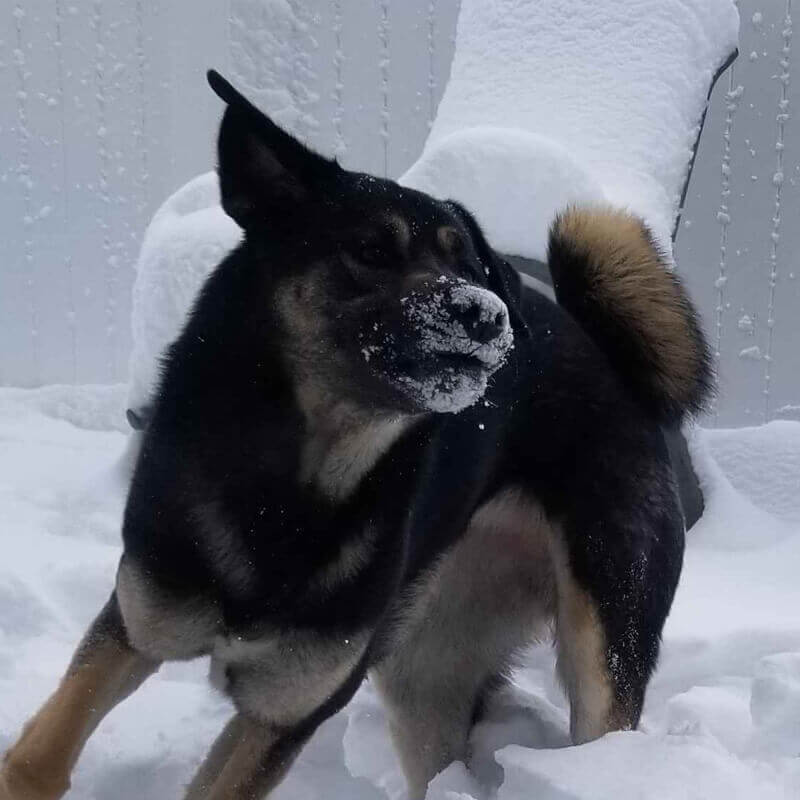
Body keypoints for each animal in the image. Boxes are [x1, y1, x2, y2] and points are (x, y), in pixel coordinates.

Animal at [0, 70, 712, 800]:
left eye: (472, 267)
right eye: (370, 250)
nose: (488, 316)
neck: (293, 487)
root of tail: (615, 367)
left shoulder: (289, 710)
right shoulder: (137, 630)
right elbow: (39, 755)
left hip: (600, 647)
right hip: (424, 670)